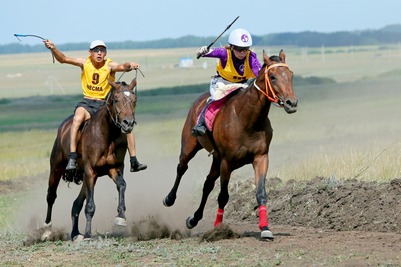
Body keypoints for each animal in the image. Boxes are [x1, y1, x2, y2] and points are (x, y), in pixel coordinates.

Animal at [43, 78, 138, 242]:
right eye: (116, 100)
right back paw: (47, 231)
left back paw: (75, 234)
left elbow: (122, 185)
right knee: (51, 196)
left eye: (134, 100)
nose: (128, 123)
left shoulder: (114, 168)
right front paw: (88, 234)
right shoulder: (90, 170)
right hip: (57, 168)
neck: (107, 135)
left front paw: (120, 218)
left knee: (76, 204)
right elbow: (90, 206)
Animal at [162, 50, 296, 241]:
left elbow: (261, 193)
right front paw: (218, 228)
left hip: (216, 159)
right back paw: (169, 198)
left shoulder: (260, 158)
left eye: (290, 75)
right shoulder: (227, 162)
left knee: (207, 184)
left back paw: (193, 219)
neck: (248, 120)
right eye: (273, 76)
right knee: (182, 167)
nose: (292, 103)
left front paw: (265, 228)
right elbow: (223, 196)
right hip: (190, 146)